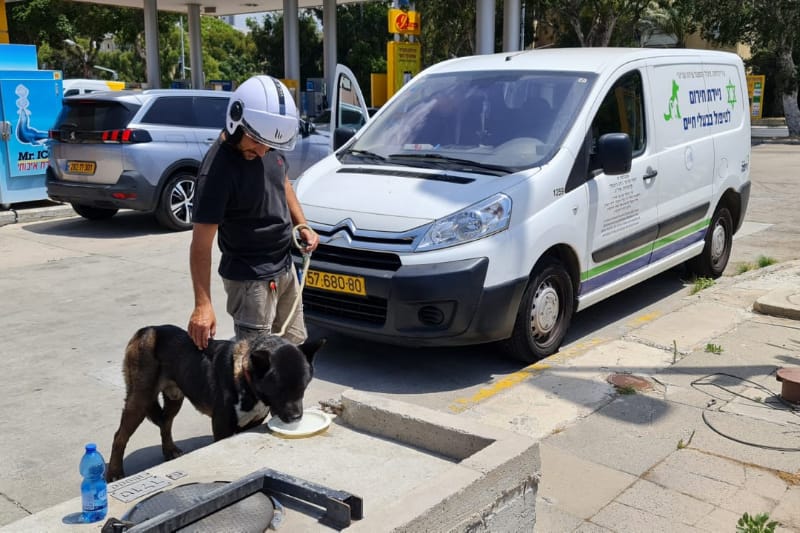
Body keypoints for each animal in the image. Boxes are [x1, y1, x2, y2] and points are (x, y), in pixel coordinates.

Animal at [107, 322, 324, 480]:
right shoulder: (221, 428)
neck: (245, 377)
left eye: (303, 387)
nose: (296, 418)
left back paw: (170, 451)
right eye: (279, 389)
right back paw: (115, 473)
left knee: (165, 424)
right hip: (140, 399)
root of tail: (146, 330)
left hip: (174, 397)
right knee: (120, 436)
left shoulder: (252, 423)